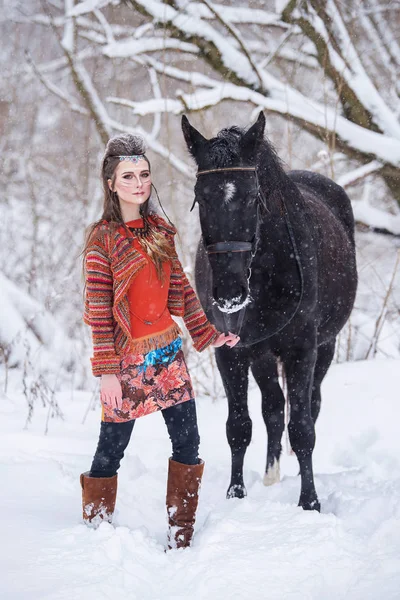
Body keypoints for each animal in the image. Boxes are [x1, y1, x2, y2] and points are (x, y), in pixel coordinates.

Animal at [181, 111, 356, 510]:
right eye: (201, 197)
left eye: (252, 197)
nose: (230, 294)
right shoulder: (231, 351)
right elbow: (239, 426)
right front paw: (235, 493)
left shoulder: (302, 350)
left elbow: (303, 428)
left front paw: (310, 502)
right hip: (261, 356)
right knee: (273, 410)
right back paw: (270, 475)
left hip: (324, 348)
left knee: (308, 407)